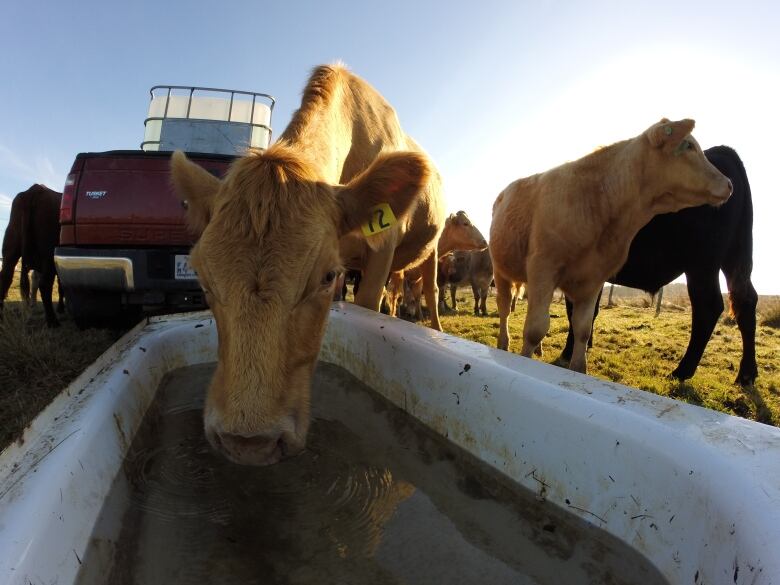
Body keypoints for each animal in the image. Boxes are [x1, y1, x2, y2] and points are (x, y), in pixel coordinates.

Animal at [0, 184, 62, 326]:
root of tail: (36, 189)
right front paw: (61, 308)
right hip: (48, 253)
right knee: (44, 284)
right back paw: (52, 321)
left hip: (10, 249)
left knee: (5, 278)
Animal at [172, 64, 444, 466]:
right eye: (203, 280)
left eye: (326, 276)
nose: (248, 442)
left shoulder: (380, 254)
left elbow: (370, 302)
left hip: (433, 249)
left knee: (431, 288)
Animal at [490, 119, 736, 374]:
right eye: (688, 145)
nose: (729, 184)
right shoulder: (543, 268)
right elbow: (535, 328)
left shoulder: (593, 279)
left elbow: (583, 328)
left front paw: (579, 369)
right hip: (500, 270)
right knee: (504, 308)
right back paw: (503, 343)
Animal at [560, 144, 756, 386]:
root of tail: (722, 152)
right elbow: (588, 311)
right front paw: (585, 346)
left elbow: (576, 311)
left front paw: (569, 353)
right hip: (735, 258)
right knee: (746, 301)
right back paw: (746, 374)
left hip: (702, 264)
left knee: (708, 306)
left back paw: (681, 371)